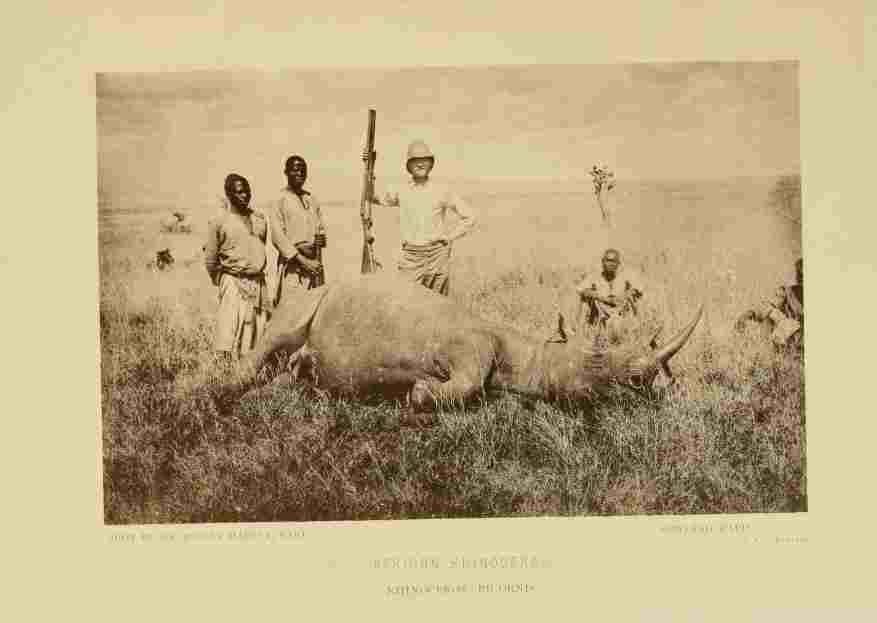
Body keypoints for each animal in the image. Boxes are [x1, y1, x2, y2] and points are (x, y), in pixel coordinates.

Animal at [207, 273, 702, 413]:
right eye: (596, 356)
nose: (646, 386)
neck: (529, 353)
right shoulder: (467, 348)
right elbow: (465, 385)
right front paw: (418, 394)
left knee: (296, 366)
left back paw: (307, 382)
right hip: (310, 297)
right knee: (280, 330)